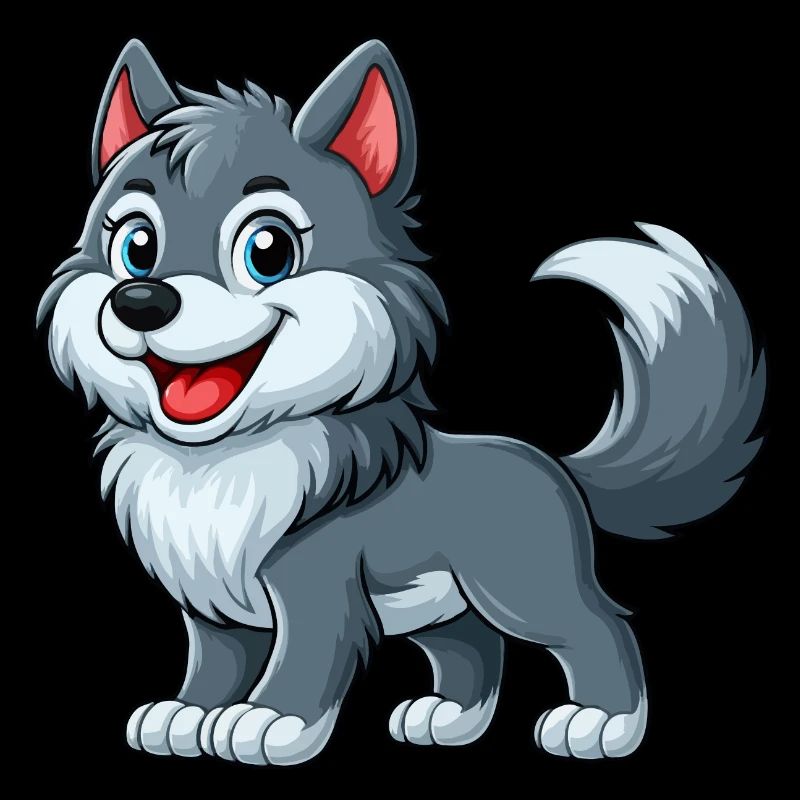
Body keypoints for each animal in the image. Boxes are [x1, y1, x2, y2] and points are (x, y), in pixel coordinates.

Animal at [38, 39, 765, 766]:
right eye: (136, 246)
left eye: (267, 250)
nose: (140, 301)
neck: (222, 461)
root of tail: (553, 464)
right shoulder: (209, 605)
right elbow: (214, 663)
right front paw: (187, 715)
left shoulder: (316, 587)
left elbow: (303, 659)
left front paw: (268, 721)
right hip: (445, 603)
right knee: (472, 646)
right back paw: (448, 718)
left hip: (520, 585)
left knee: (594, 626)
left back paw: (601, 721)